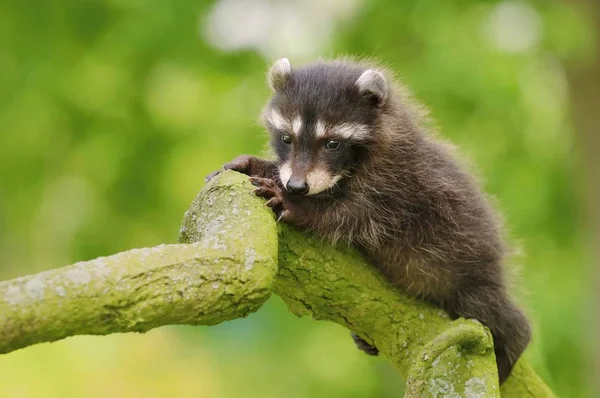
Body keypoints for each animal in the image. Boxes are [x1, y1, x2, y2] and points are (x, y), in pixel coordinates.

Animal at [206, 57, 528, 384]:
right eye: (287, 138)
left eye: (332, 143)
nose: (297, 187)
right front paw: (259, 166)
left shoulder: (398, 185)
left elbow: (349, 214)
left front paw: (299, 206)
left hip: (467, 268)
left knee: (490, 309)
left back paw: (513, 337)